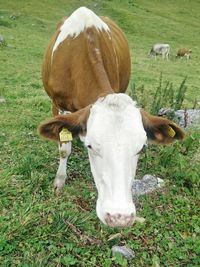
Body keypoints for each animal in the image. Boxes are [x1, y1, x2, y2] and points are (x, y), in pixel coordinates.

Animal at [37, 6, 184, 228]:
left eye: (141, 148)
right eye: (90, 146)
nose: (119, 217)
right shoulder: (57, 104)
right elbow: (64, 149)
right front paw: (59, 181)